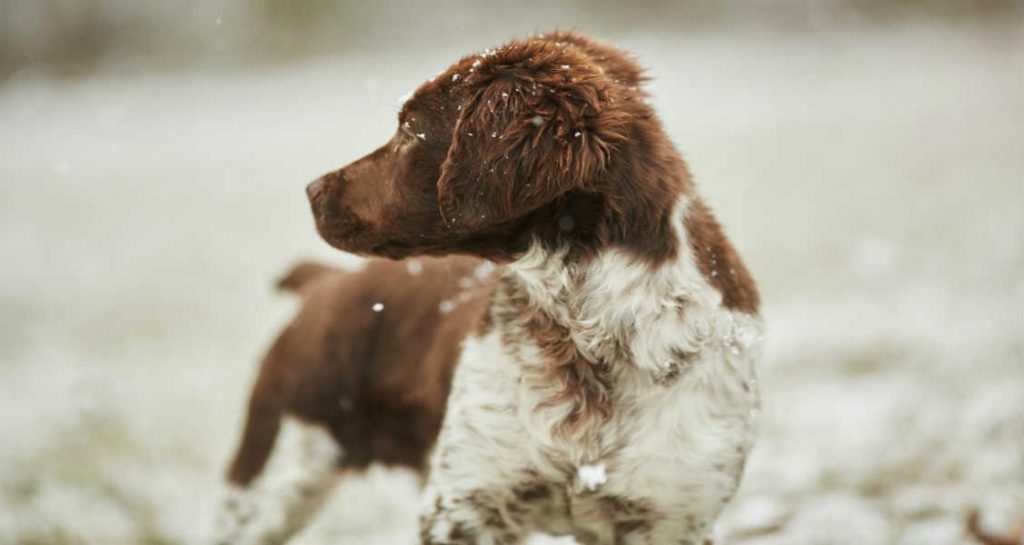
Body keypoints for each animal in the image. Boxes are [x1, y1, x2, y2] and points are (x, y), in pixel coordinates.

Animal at [216, 33, 761, 545]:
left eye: (409, 132)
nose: (313, 190)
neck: (587, 335)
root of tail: (324, 283)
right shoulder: (464, 501)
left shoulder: (673, 514)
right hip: (265, 477)